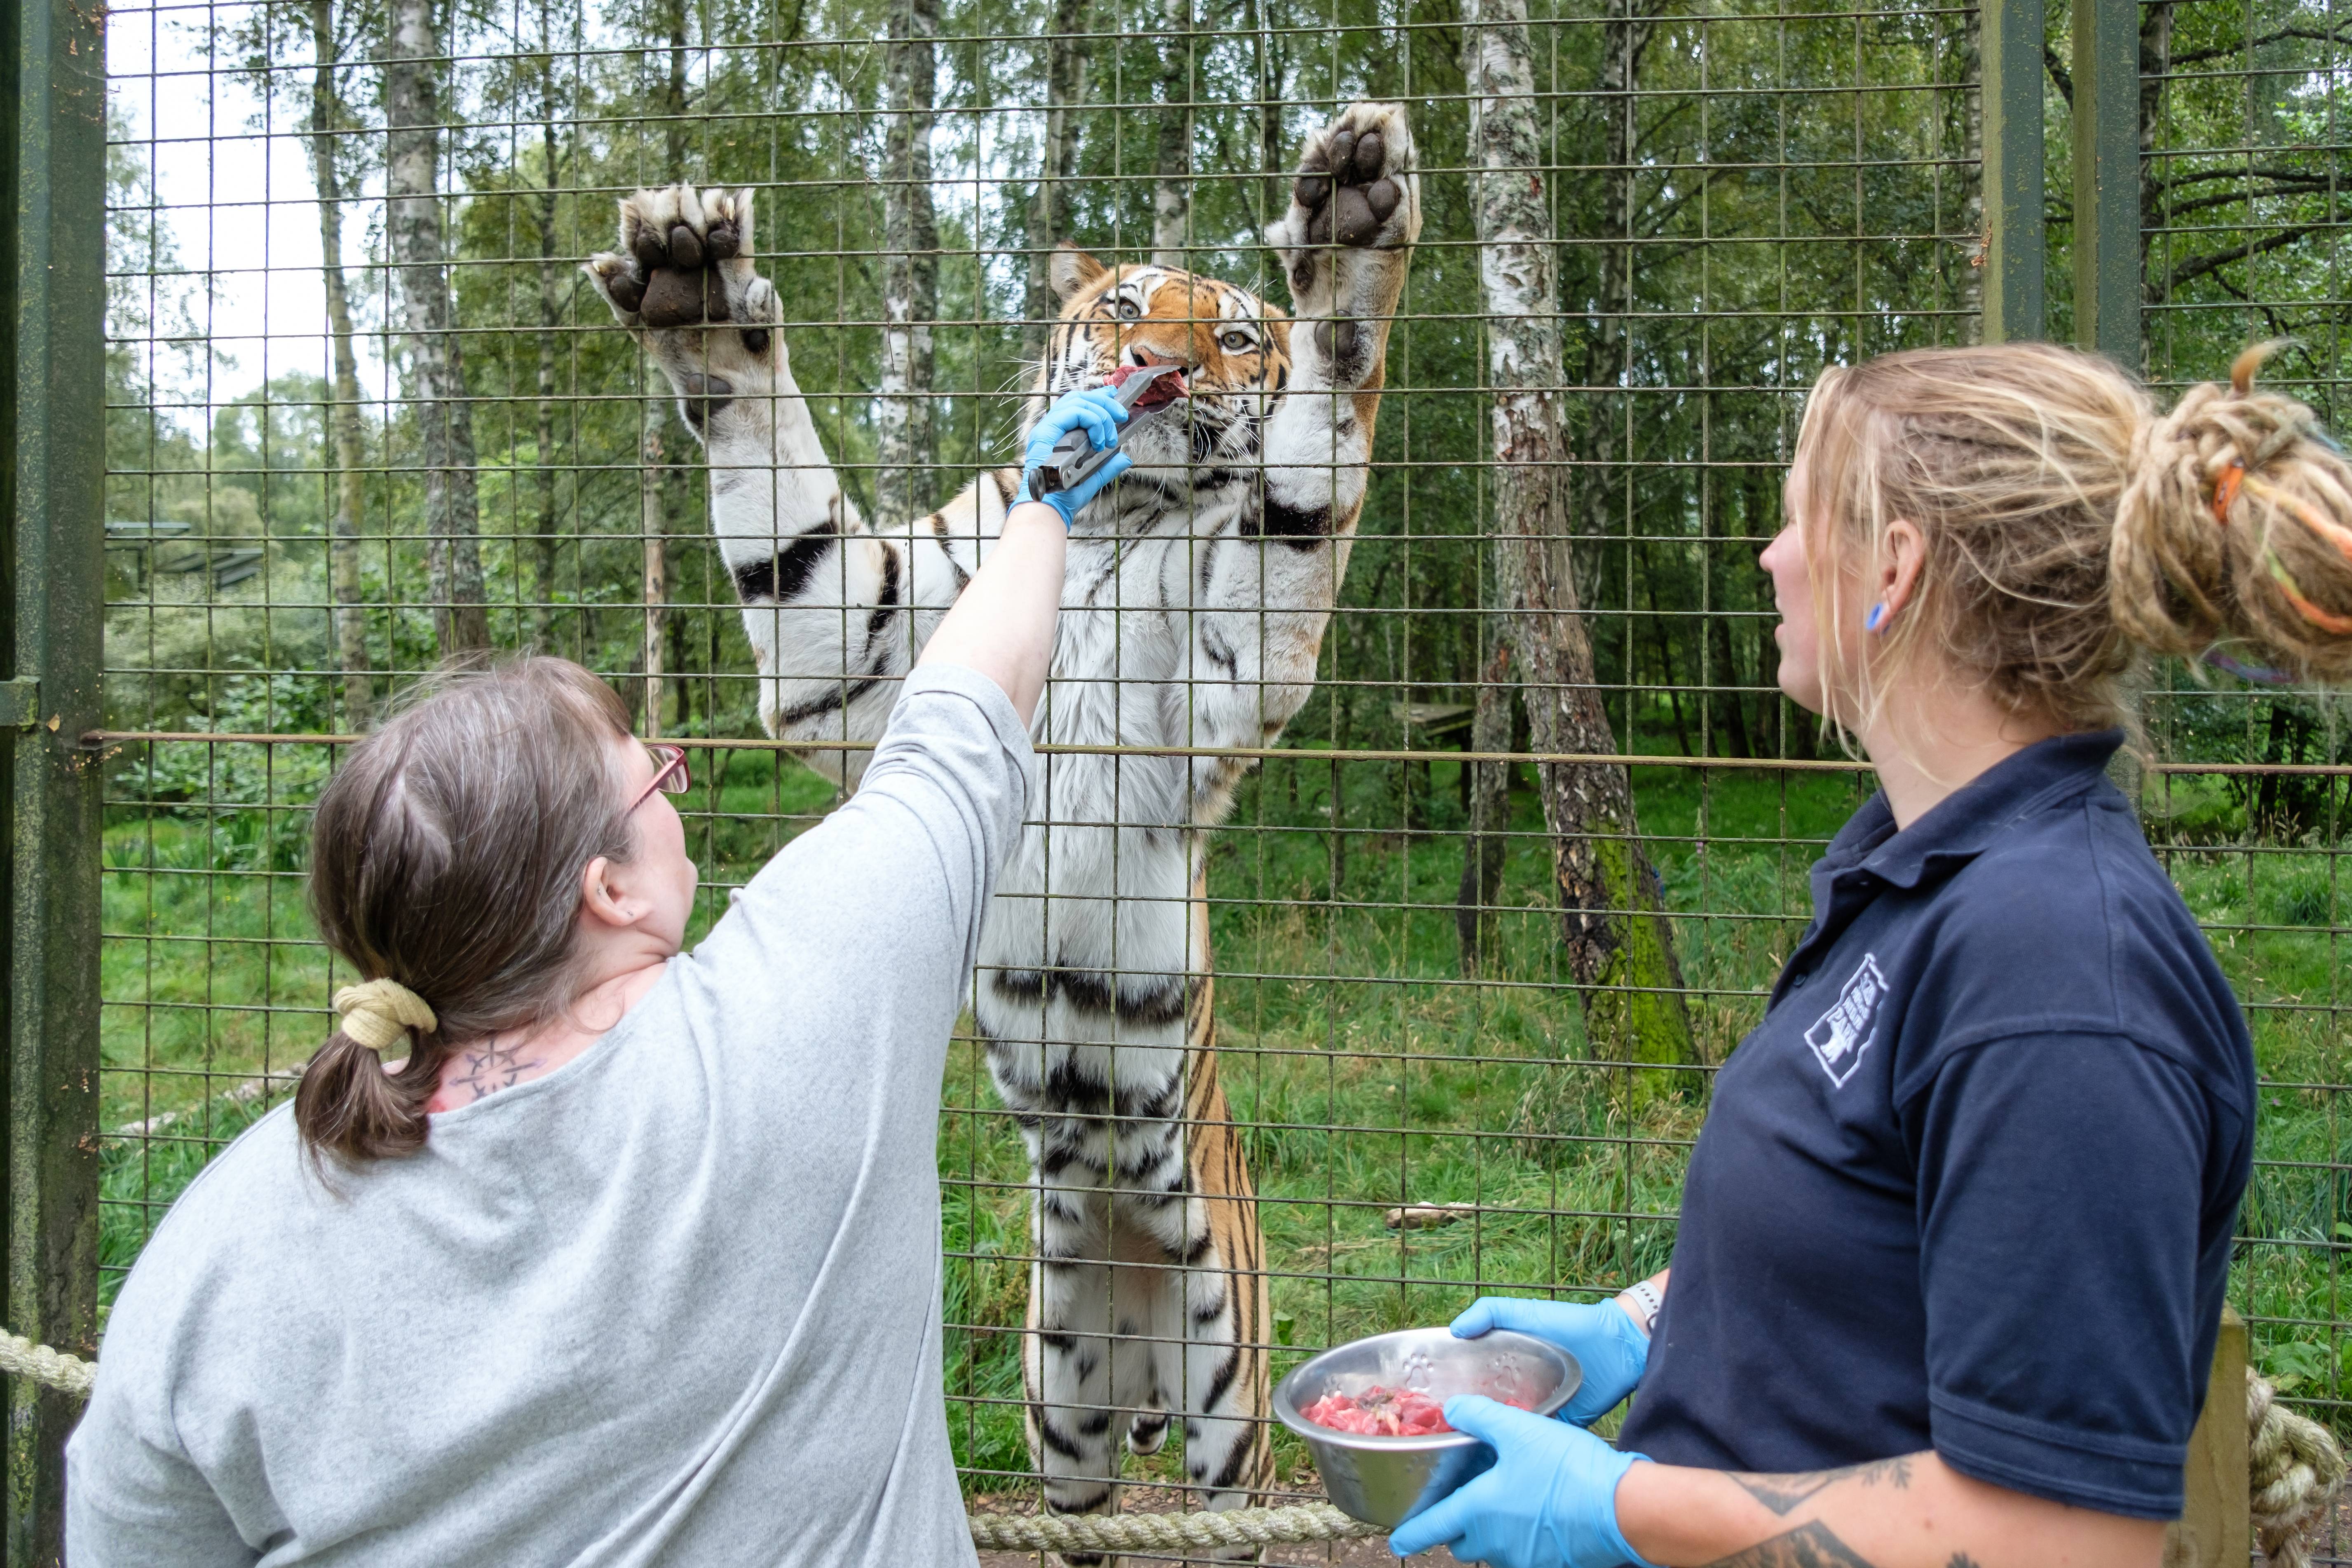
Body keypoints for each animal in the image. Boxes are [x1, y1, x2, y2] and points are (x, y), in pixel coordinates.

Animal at [588, 104, 1421, 1561]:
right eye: (1128, 309)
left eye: (1235, 336)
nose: (1149, 368)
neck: (1101, 530)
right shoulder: (851, 655)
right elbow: (786, 518)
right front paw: (696, 292)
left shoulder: (1229, 666)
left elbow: (1311, 464)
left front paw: (1353, 239)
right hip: (1061, 1399)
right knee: (1082, 1505)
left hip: (1229, 1411)